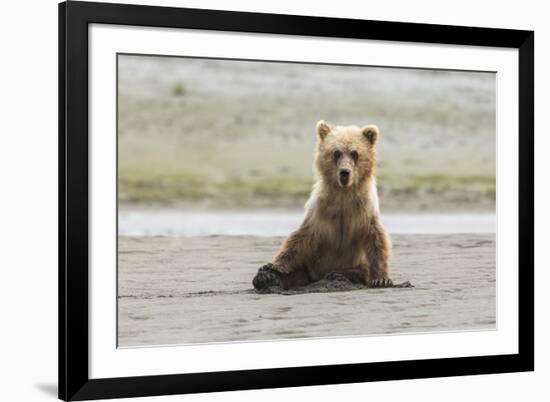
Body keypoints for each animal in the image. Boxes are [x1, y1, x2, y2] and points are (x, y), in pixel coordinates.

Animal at [252, 119, 394, 288]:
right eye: (336, 152)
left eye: (354, 153)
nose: (344, 172)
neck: (343, 194)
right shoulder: (321, 209)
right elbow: (300, 239)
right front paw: (272, 266)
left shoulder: (364, 209)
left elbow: (376, 239)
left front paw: (381, 279)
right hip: (309, 267)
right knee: (298, 272)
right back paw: (266, 277)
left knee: (359, 270)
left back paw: (340, 274)